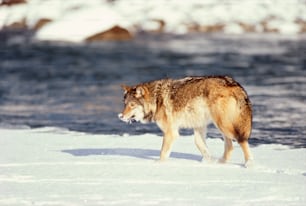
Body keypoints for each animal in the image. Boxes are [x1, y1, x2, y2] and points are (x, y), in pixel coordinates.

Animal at [118, 76, 255, 167]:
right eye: (125, 104)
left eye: (132, 105)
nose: (121, 116)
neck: (156, 100)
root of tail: (235, 84)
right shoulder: (199, 126)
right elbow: (201, 146)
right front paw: (208, 162)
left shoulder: (170, 132)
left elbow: (163, 152)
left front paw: (158, 163)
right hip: (221, 126)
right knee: (230, 145)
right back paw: (220, 162)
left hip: (224, 125)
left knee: (241, 141)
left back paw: (249, 163)